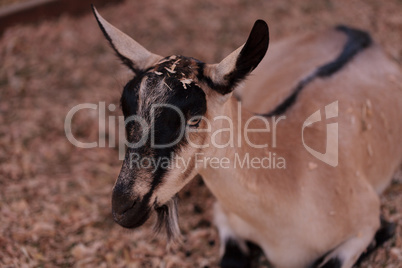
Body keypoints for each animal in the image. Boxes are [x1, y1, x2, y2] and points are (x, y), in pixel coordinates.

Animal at [92, 6, 402, 268]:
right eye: (126, 109)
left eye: (194, 118)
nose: (123, 207)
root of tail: (350, 31)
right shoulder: (224, 216)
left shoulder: (365, 224)